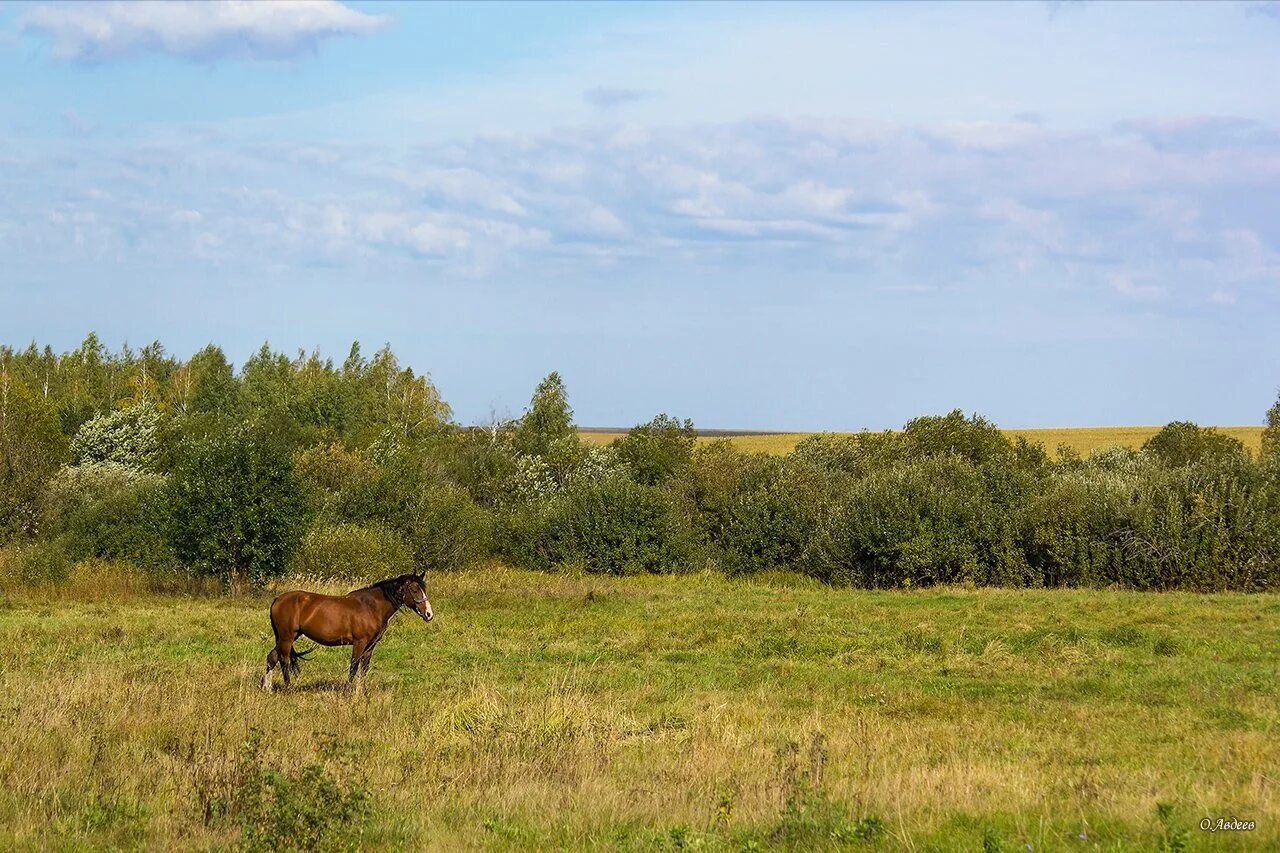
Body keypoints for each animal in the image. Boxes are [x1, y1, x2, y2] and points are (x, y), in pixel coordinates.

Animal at [262, 568, 432, 686]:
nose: (429, 614)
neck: (371, 607)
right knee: (283, 660)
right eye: (414, 590)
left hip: (286, 637)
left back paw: (267, 688)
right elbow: (354, 667)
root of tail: (277, 599)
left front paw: (362, 694)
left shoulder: (370, 646)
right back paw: (288, 687)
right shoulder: (359, 643)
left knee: (272, 657)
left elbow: (364, 669)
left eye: (424, 589)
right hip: (287, 637)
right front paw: (348, 693)